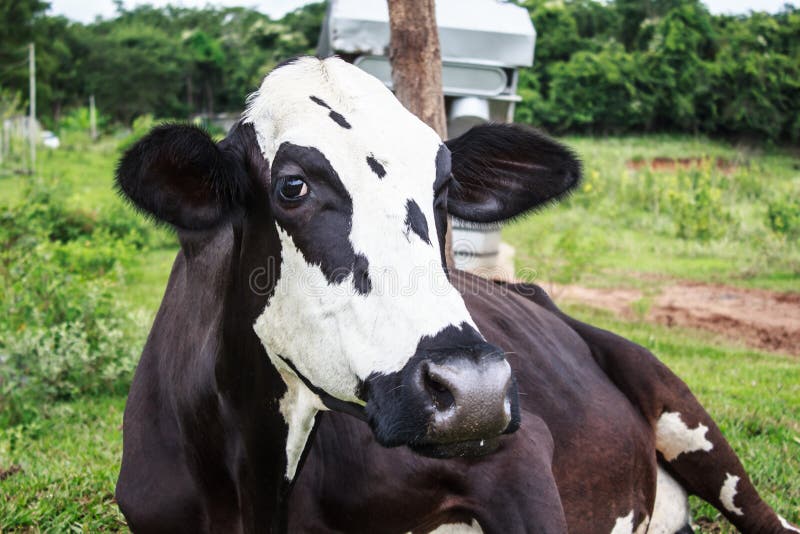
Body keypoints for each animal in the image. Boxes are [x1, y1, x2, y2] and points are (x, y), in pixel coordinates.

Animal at [114, 56, 800, 532]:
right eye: (292, 186)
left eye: (443, 188)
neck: (254, 480)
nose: (475, 390)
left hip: (682, 411)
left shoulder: (520, 455)